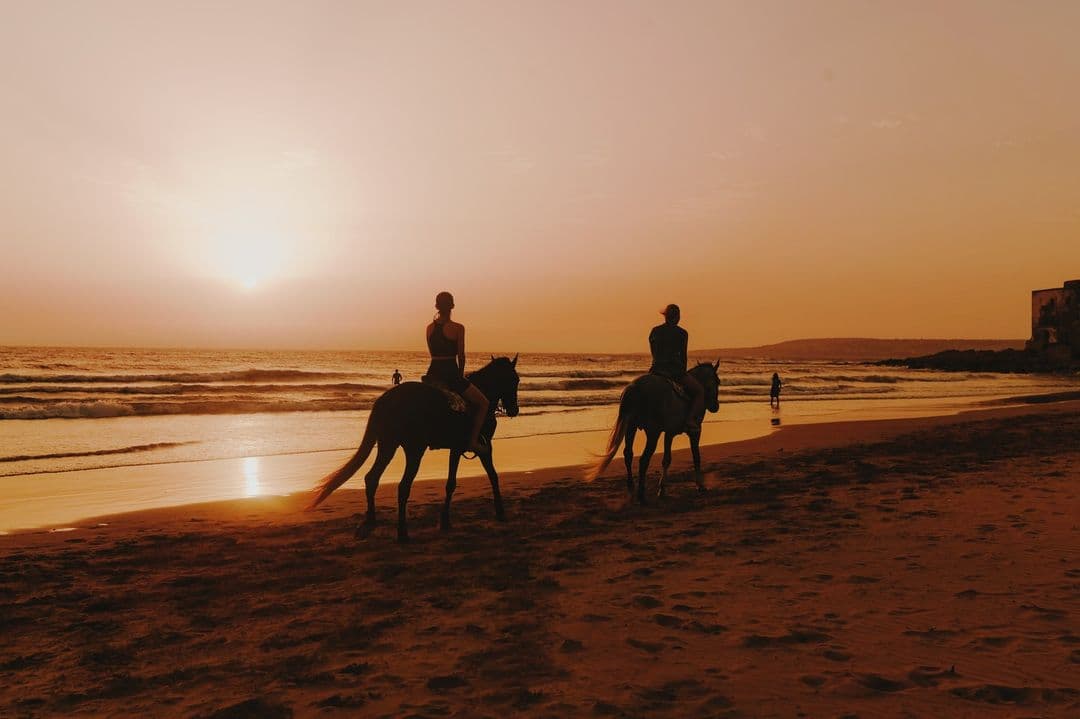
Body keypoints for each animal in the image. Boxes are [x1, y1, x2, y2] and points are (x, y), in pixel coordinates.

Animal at [306, 356, 520, 539]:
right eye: (515, 380)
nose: (514, 410)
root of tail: (387, 399)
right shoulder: (481, 446)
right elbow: (490, 476)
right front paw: (500, 512)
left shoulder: (457, 449)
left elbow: (454, 483)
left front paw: (445, 520)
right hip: (414, 450)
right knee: (403, 486)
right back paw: (402, 532)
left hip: (388, 445)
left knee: (372, 478)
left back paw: (371, 521)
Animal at [587, 358, 721, 503]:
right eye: (717, 381)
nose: (715, 406)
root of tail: (634, 388)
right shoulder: (695, 432)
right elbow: (696, 457)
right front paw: (700, 485)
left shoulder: (669, 433)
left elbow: (666, 460)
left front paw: (662, 489)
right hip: (653, 433)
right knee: (644, 459)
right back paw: (641, 496)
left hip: (631, 427)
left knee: (628, 454)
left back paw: (631, 488)